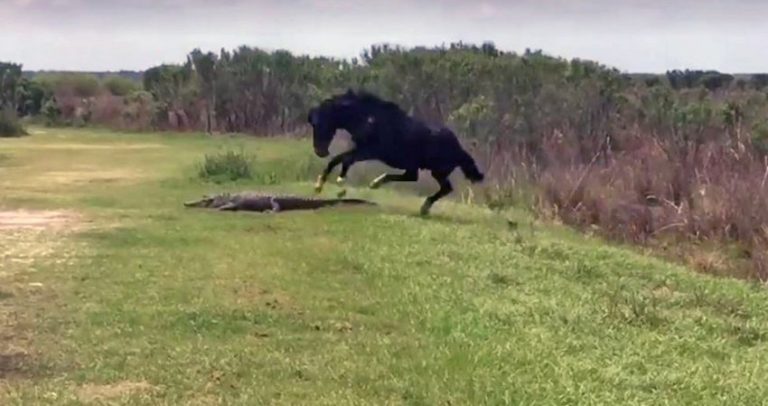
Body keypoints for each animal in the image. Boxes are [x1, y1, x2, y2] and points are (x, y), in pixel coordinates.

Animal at [306, 89, 485, 216]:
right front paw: (322, 185)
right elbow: (338, 160)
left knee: (436, 185)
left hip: (436, 170)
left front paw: (338, 184)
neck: (369, 119)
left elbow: (344, 160)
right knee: (424, 181)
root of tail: (459, 149)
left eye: (319, 123)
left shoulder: (371, 151)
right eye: (313, 124)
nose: (319, 151)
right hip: (429, 169)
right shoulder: (361, 148)